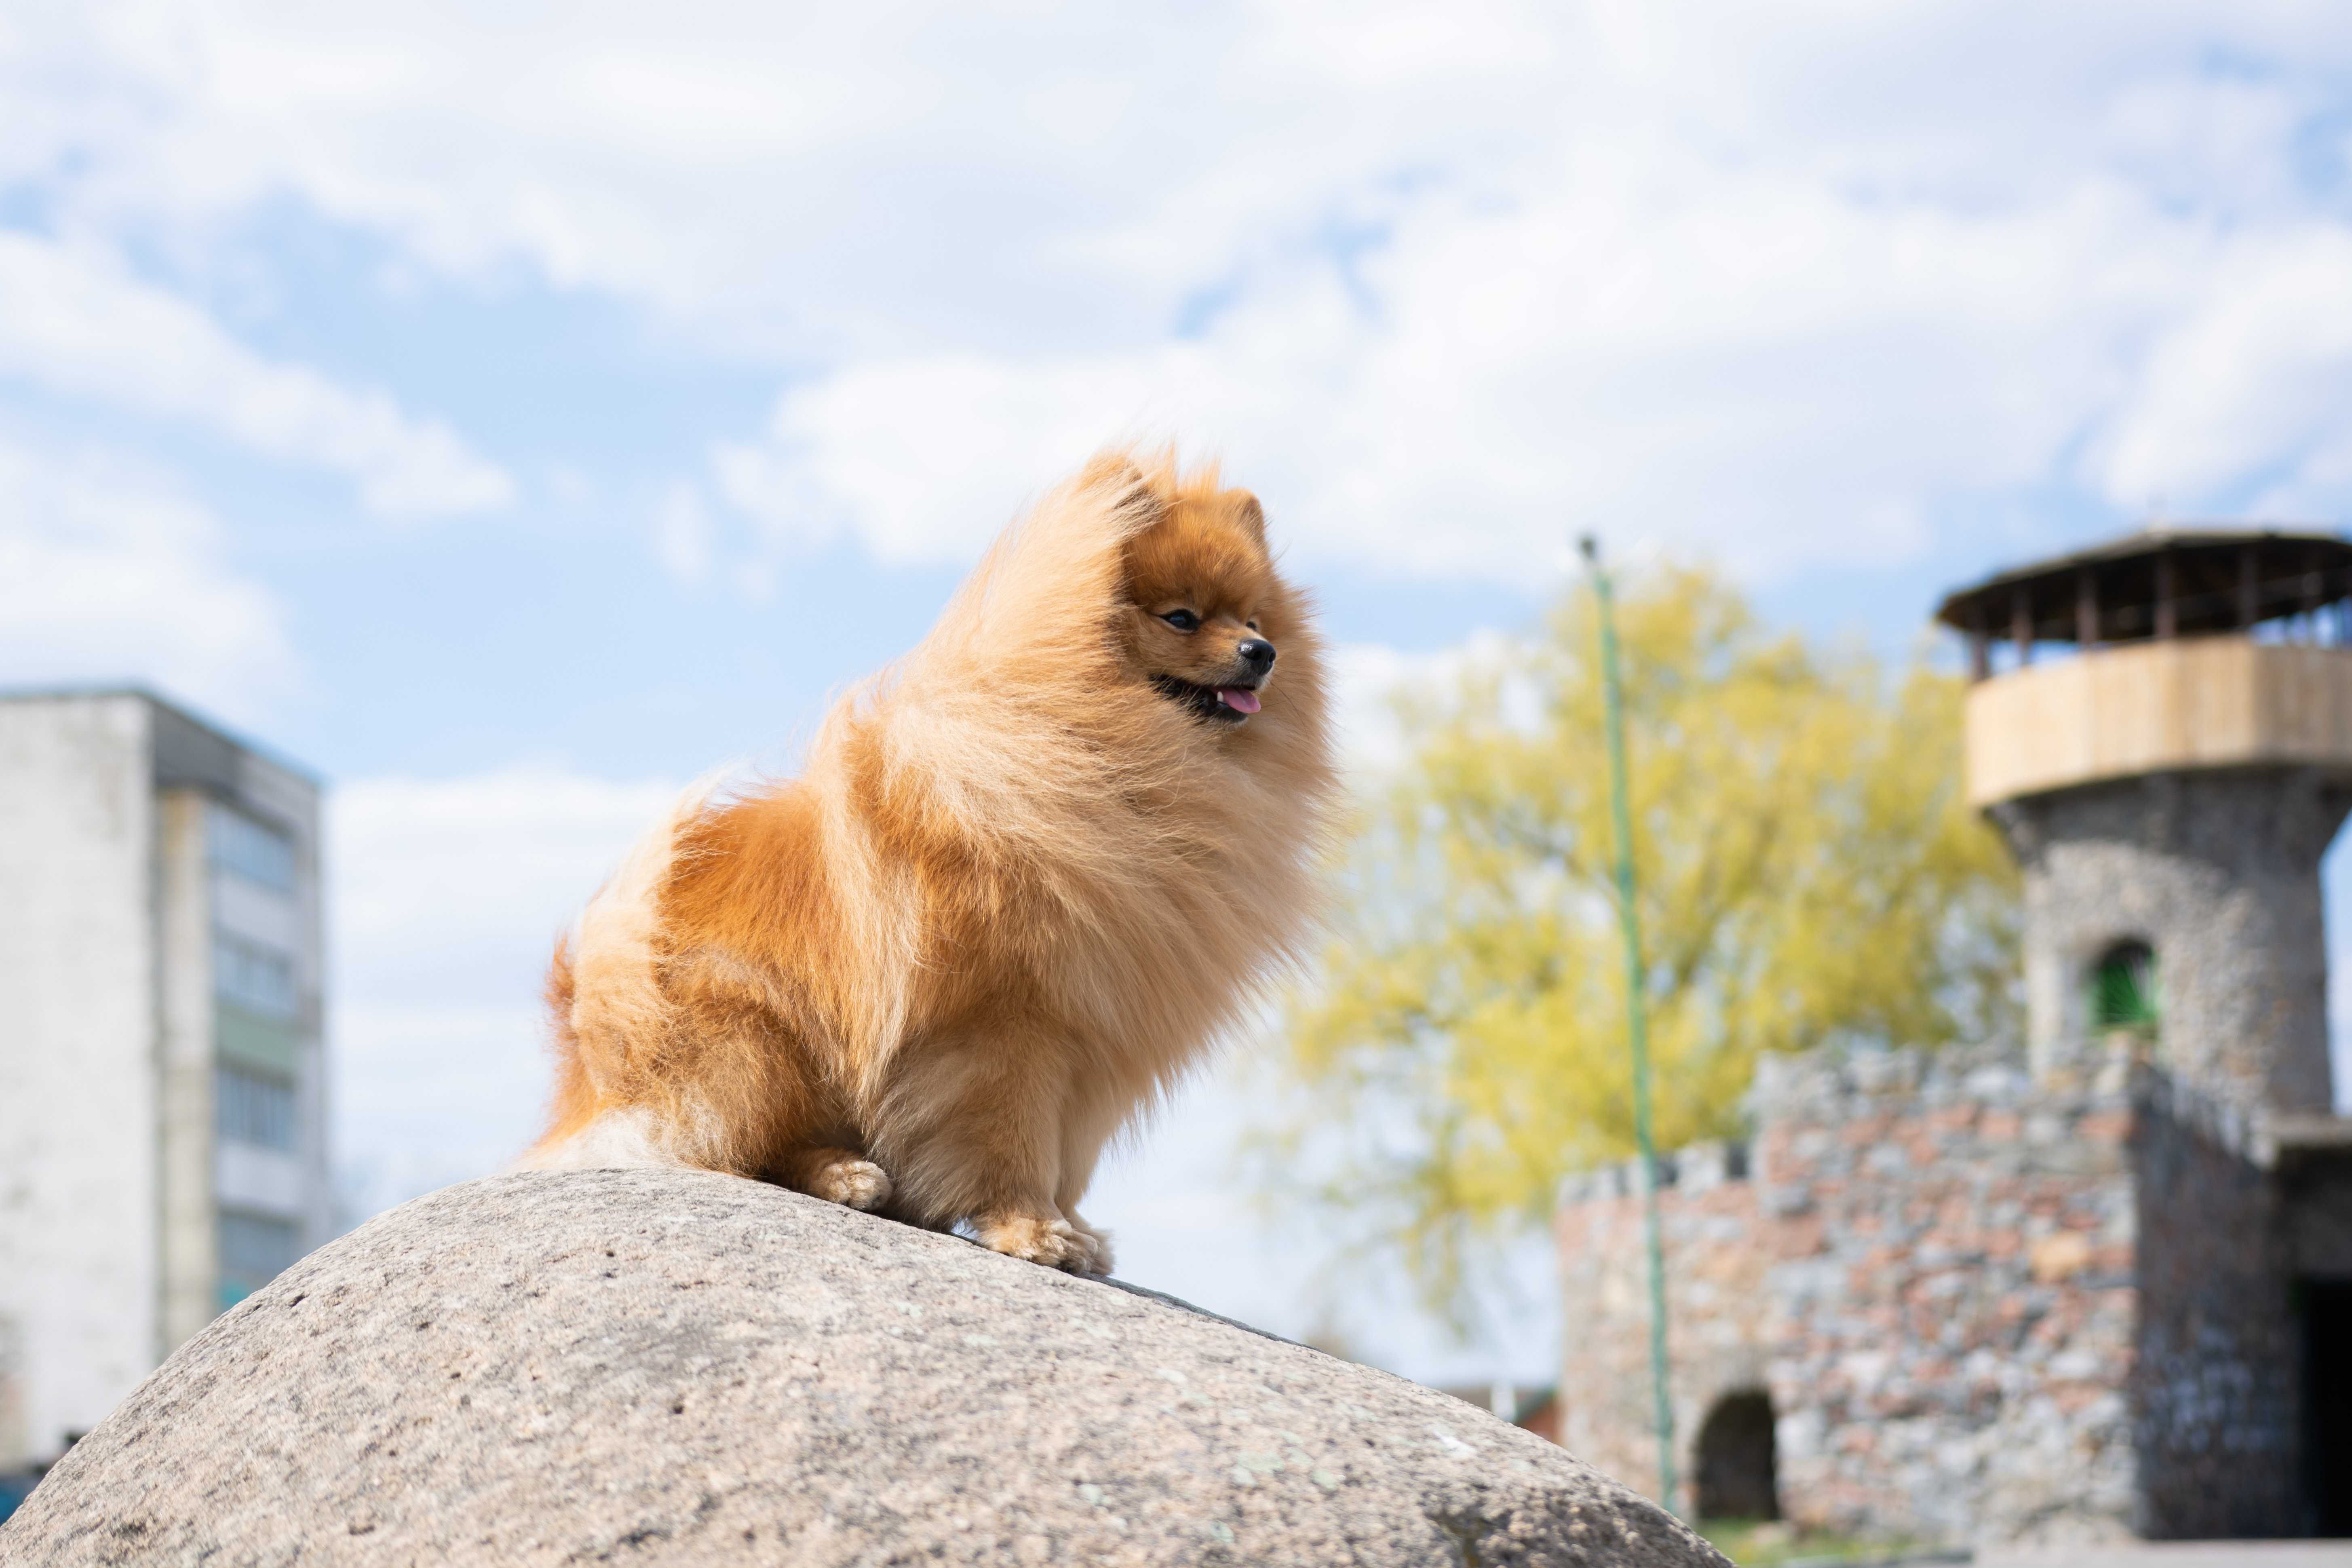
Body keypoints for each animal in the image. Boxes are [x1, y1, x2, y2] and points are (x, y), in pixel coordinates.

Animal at [527, 451, 1354, 1279]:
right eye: (1182, 617)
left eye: (1254, 620)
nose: (1261, 654)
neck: (1109, 750)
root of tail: (590, 1062)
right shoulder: (1006, 1023)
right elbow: (1012, 1137)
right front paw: (1030, 1228)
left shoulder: (1093, 1041)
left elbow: (1067, 1158)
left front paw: (1073, 1227)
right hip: (754, 1039)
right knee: (735, 1149)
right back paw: (842, 1172)